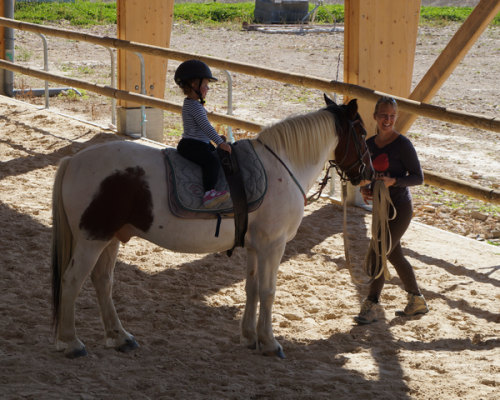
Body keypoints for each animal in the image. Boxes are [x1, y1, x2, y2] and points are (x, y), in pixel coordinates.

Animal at [51, 97, 372, 360]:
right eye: (362, 134)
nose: (368, 173)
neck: (282, 167)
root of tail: (73, 160)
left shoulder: (255, 247)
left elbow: (251, 289)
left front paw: (249, 337)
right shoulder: (273, 245)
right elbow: (268, 291)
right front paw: (269, 342)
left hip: (111, 238)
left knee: (102, 281)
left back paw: (119, 338)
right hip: (92, 239)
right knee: (72, 281)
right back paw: (72, 343)